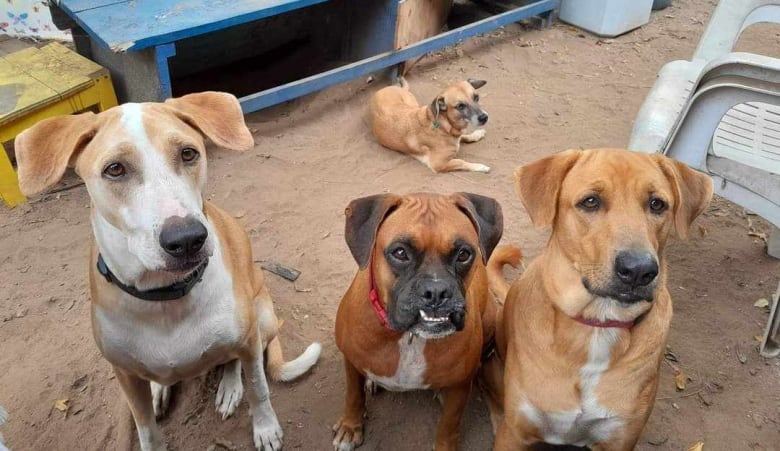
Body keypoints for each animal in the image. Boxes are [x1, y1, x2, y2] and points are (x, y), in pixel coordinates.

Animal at [16, 92, 320, 451]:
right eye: (115, 169)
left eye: (188, 153)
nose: (187, 239)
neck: (165, 297)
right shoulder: (124, 374)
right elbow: (146, 429)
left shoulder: (247, 340)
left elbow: (258, 388)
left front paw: (266, 428)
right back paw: (160, 389)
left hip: (261, 317)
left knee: (235, 360)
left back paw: (230, 387)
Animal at [332, 192, 502, 450]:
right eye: (400, 253)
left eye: (463, 254)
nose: (436, 291)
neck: (409, 337)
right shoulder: (351, 361)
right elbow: (353, 394)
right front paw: (350, 426)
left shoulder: (460, 386)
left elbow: (449, 423)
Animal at [482, 149, 712, 451]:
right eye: (590, 201)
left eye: (657, 204)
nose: (639, 270)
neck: (596, 324)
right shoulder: (516, 432)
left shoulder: (620, 438)